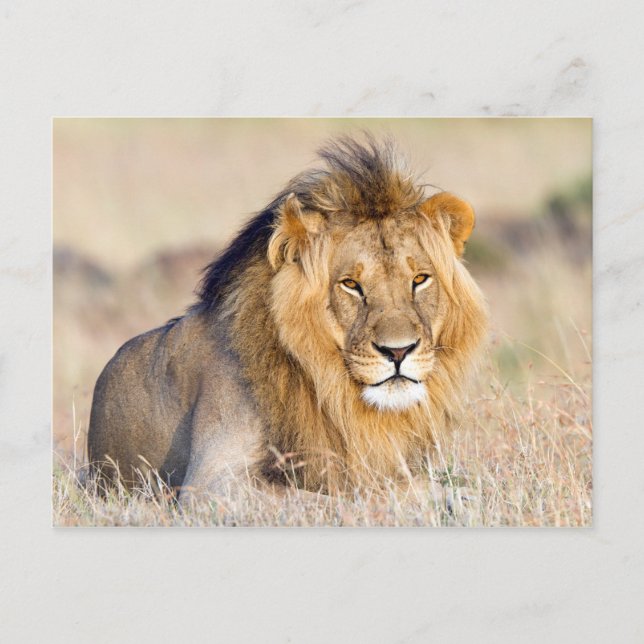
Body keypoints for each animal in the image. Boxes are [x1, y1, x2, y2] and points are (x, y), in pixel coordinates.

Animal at [87, 135, 488, 500]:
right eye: (351, 284)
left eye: (420, 279)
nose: (399, 352)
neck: (329, 387)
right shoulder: (211, 484)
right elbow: (349, 492)